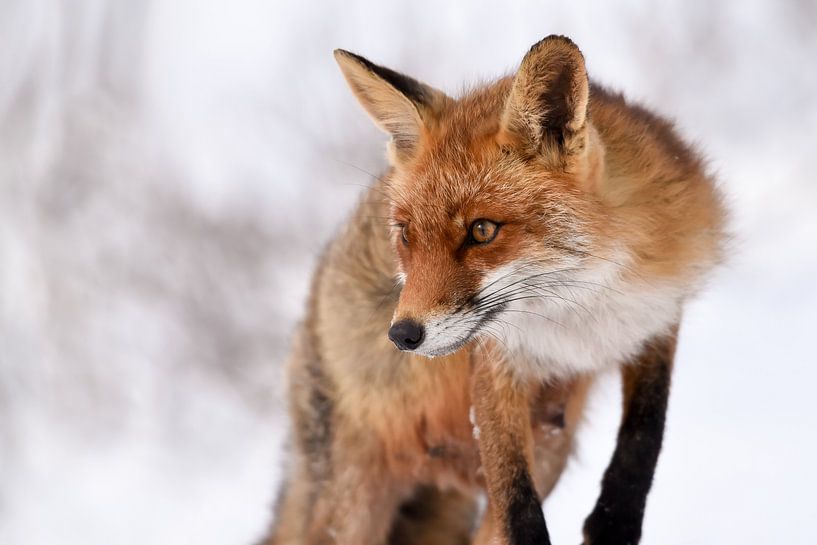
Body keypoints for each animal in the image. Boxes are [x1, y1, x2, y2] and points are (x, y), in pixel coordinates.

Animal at [262, 35, 725, 545]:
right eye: (405, 235)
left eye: (482, 230)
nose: (403, 335)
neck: (583, 310)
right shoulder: (496, 367)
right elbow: (517, 504)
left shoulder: (656, 320)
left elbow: (646, 431)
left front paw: (614, 521)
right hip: (351, 502)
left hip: (549, 449)